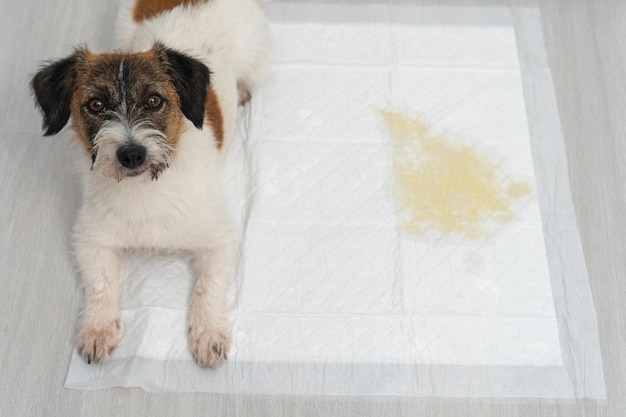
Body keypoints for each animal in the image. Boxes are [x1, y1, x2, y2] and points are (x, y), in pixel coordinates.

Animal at [29, 0, 268, 368]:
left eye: (154, 100)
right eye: (96, 105)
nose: (131, 154)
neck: (144, 187)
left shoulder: (220, 239)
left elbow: (209, 286)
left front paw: (209, 333)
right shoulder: (91, 239)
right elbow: (100, 284)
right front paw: (98, 328)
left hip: (255, 53)